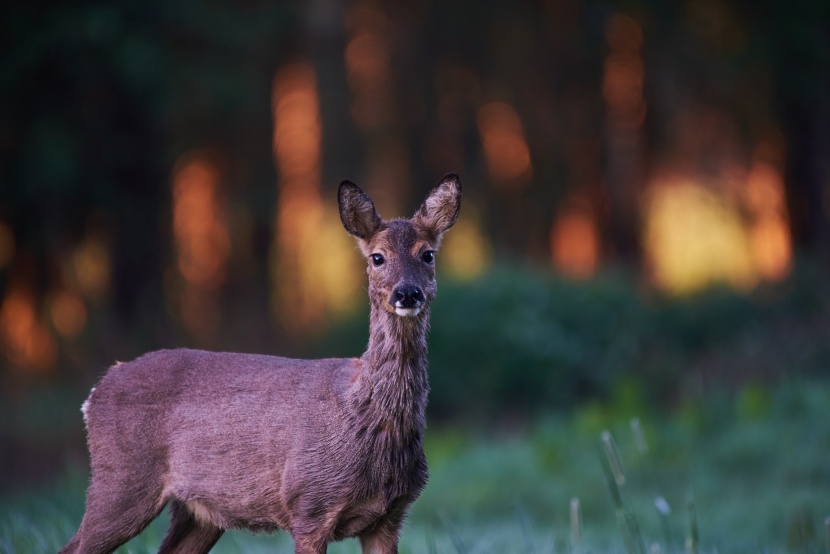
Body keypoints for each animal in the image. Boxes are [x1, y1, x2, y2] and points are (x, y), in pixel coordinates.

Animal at [58, 174, 462, 552]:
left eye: (427, 254)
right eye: (377, 257)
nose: (407, 293)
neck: (367, 420)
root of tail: (96, 391)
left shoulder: (390, 517)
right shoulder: (309, 505)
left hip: (197, 512)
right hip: (122, 480)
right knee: (74, 546)